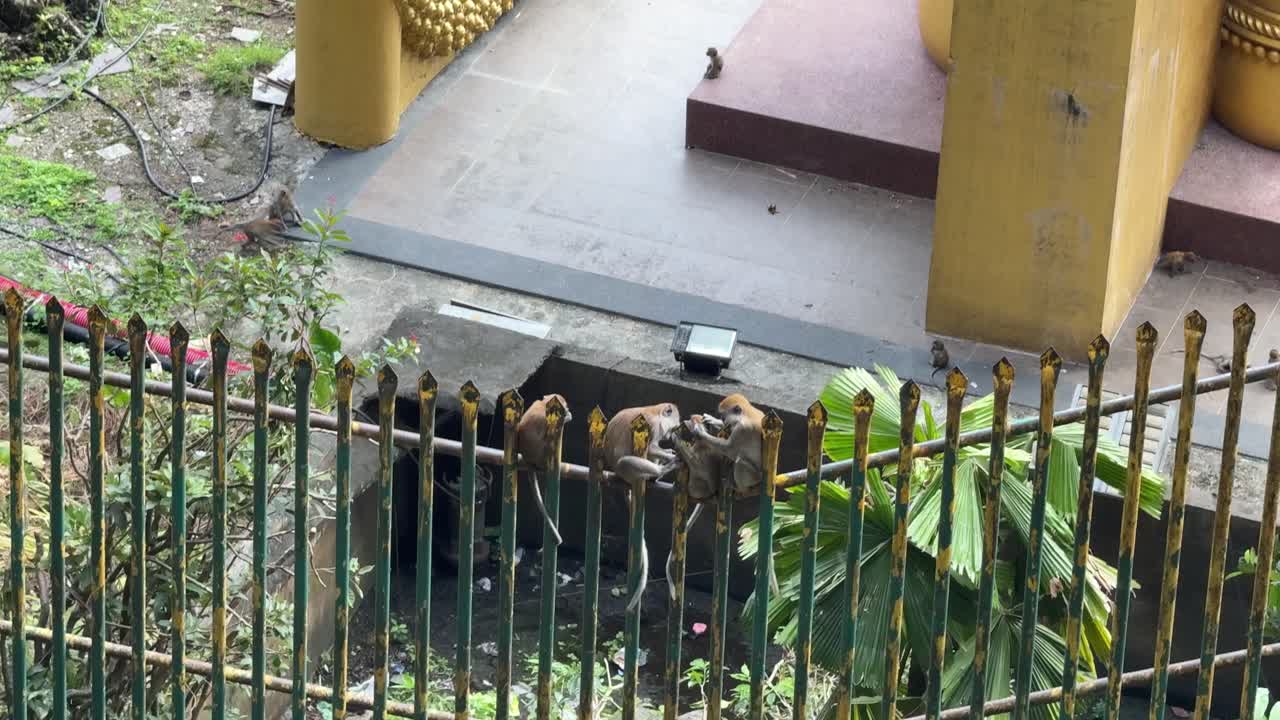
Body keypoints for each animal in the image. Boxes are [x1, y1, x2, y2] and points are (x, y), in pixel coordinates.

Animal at [516, 394, 573, 547]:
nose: (567, 410)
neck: (544, 404)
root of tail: (529, 461)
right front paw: (567, 416)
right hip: (543, 456)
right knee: (550, 440)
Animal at [605, 402, 682, 613]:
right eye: (674, 427)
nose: (670, 436)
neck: (655, 410)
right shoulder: (653, 425)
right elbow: (653, 447)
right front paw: (670, 454)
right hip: (625, 470)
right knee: (628, 461)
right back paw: (661, 470)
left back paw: (655, 477)